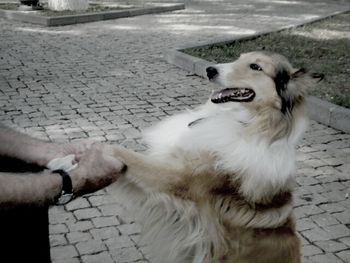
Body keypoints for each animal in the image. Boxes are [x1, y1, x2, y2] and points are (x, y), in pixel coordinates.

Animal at [110, 52, 324, 263]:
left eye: (256, 66)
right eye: (239, 58)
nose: (210, 70)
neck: (243, 122)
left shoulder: (179, 179)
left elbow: (121, 152)